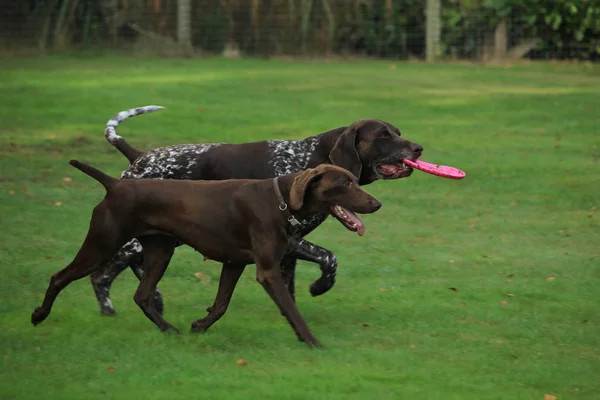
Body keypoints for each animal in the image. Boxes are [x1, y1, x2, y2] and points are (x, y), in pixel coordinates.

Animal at [31, 159, 380, 346]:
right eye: (345, 184)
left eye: (355, 180)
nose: (377, 203)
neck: (280, 200)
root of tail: (115, 185)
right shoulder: (267, 270)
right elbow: (292, 310)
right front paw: (311, 341)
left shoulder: (234, 263)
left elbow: (221, 304)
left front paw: (199, 326)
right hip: (101, 245)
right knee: (59, 276)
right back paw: (39, 315)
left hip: (160, 252)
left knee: (142, 295)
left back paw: (169, 330)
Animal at [91, 105, 424, 316]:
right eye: (382, 136)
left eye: (397, 131)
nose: (419, 148)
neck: (310, 158)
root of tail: (138, 156)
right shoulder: (291, 240)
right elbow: (330, 259)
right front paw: (320, 286)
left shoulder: (287, 248)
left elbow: (289, 289)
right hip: (134, 240)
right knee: (101, 275)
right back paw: (110, 312)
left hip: (162, 238)